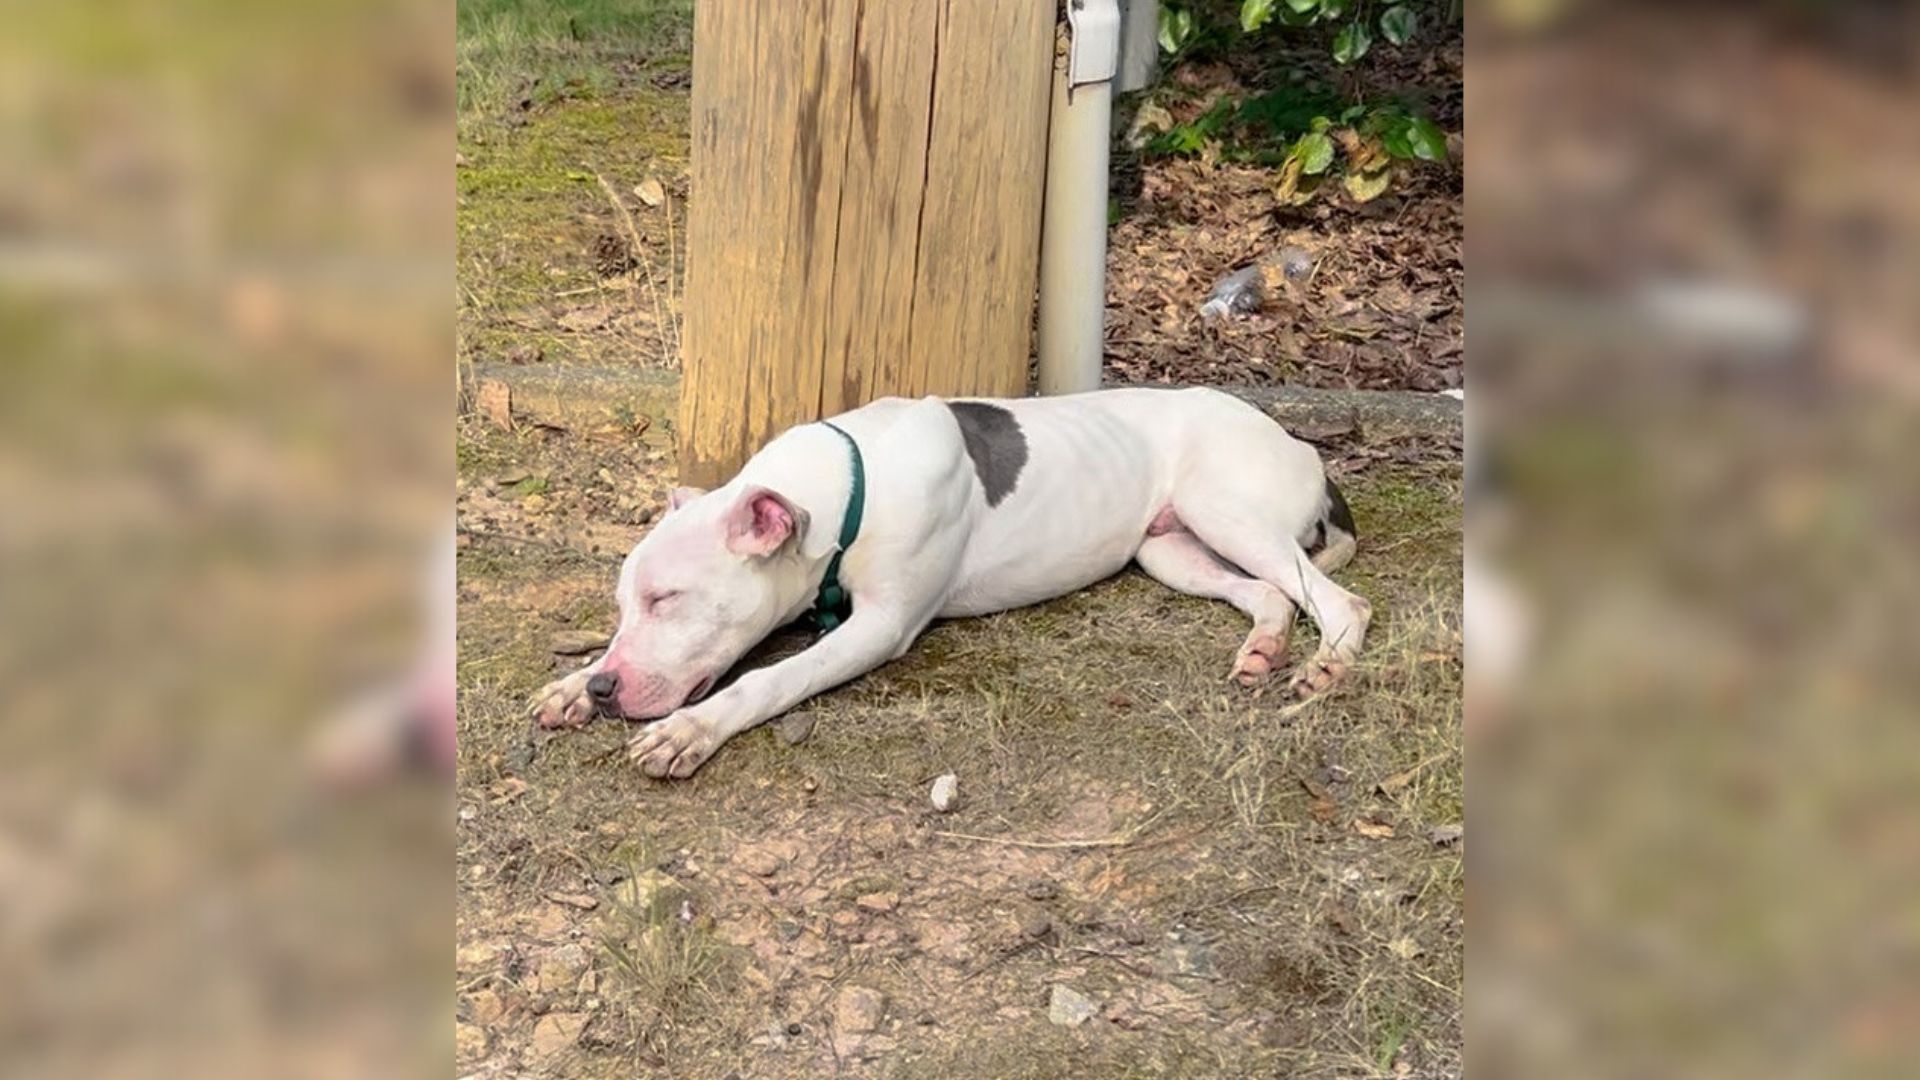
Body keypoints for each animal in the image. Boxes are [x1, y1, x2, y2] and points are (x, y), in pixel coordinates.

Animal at [529, 386, 1367, 772]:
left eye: (668, 599)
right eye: (624, 604)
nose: (606, 688)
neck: (848, 487)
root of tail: (1301, 443)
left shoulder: (880, 628)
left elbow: (772, 678)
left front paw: (692, 731)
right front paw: (572, 686)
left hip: (1223, 507)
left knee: (1340, 601)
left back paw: (1325, 669)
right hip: (1173, 550)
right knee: (1270, 594)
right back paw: (1262, 652)